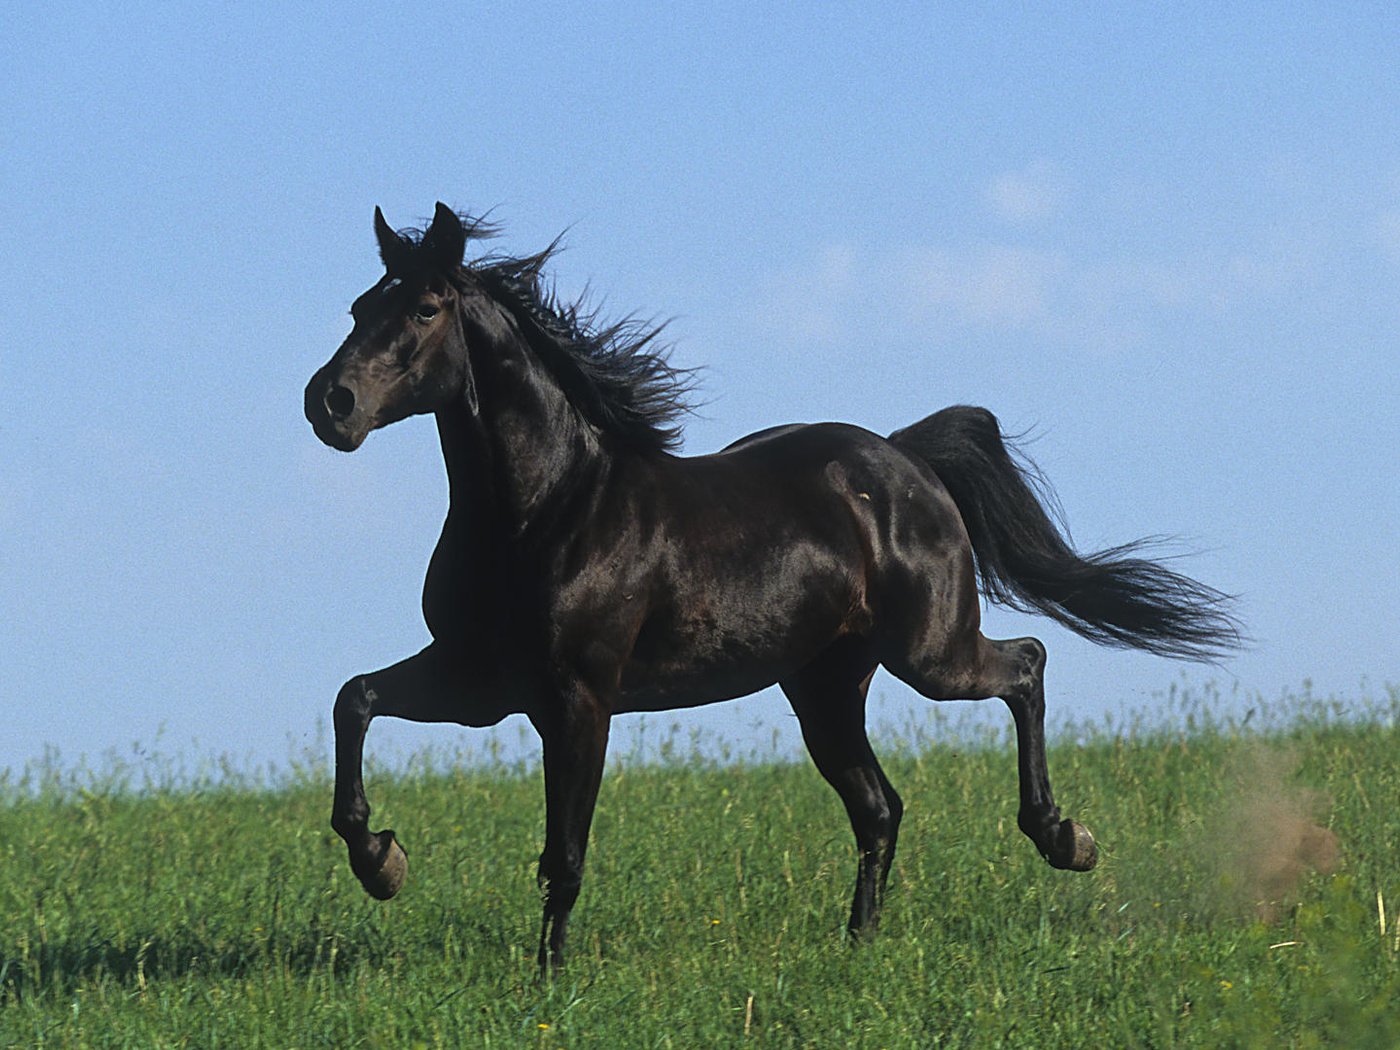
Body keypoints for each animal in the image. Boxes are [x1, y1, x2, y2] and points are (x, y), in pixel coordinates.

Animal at [303, 201, 1237, 974]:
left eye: (424, 309)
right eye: (358, 308)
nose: (330, 404)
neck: (546, 509)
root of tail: (905, 459)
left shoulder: (577, 698)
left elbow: (562, 852)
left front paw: (549, 980)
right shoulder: (481, 683)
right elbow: (355, 700)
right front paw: (382, 862)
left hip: (931, 654)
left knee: (1027, 664)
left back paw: (1064, 838)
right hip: (824, 687)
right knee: (880, 808)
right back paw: (858, 946)